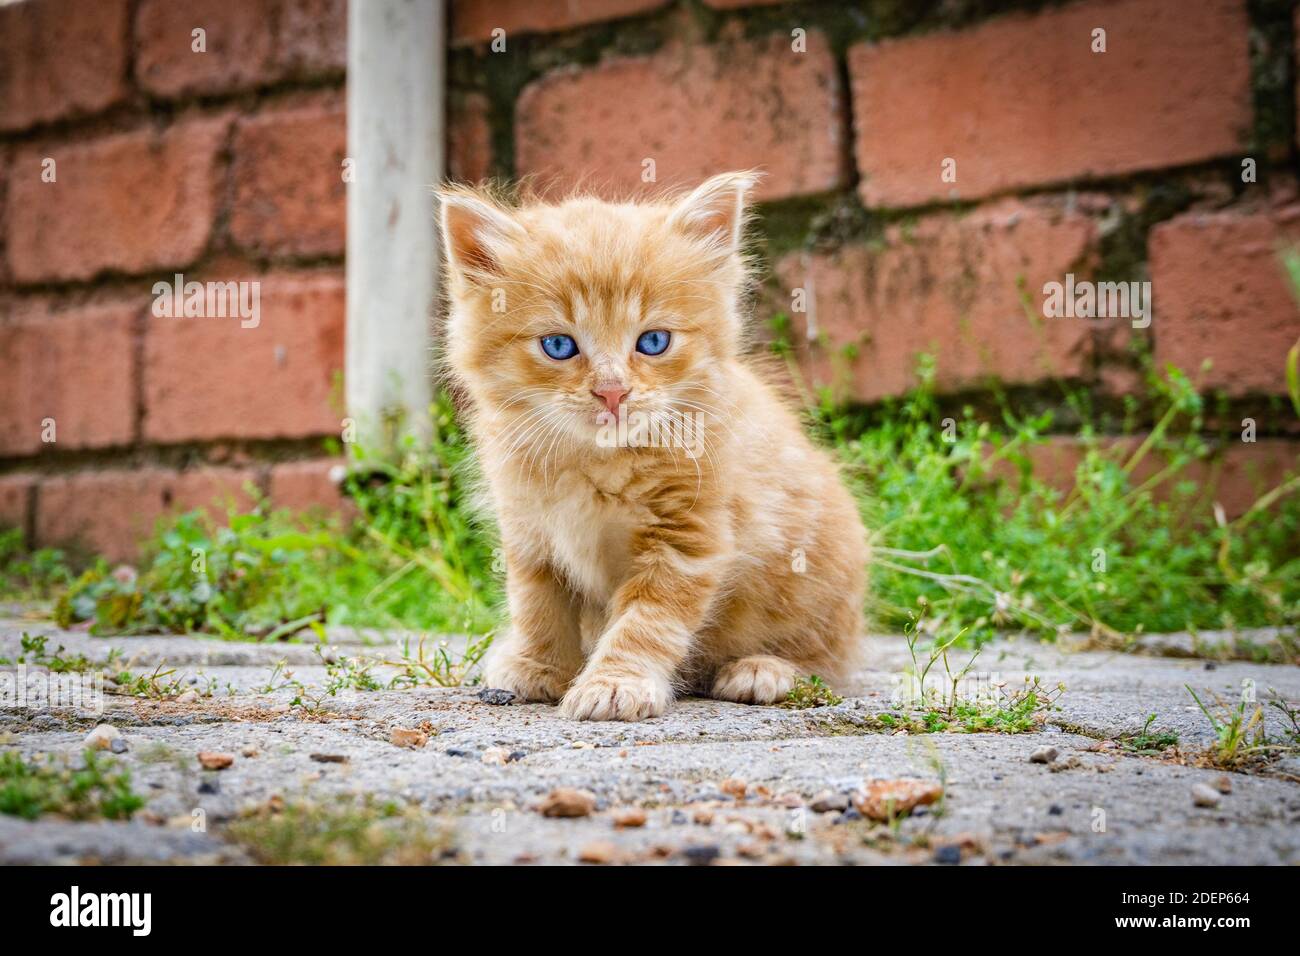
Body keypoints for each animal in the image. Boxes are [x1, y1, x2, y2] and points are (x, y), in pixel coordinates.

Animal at [439, 174, 873, 723]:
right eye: (558, 346)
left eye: (653, 342)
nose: (612, 392)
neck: (598, 462)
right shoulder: (529, 534)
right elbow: (538, 606)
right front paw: (539, 666)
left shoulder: (688, 540)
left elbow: (645, 622)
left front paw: (614, 684)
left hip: (818, 581)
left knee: (826, 661)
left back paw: (764, 670)